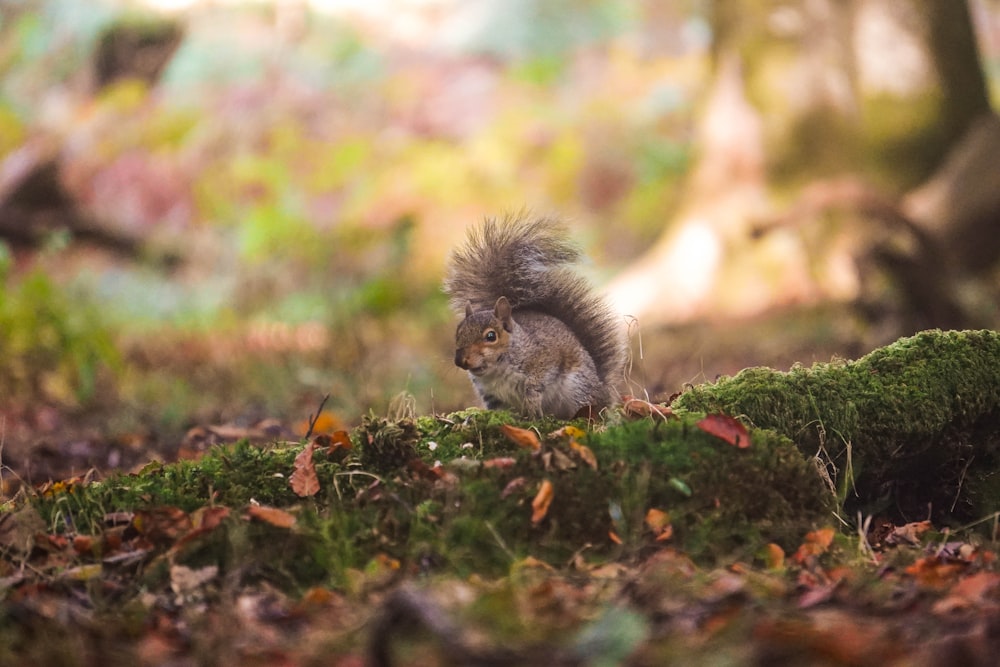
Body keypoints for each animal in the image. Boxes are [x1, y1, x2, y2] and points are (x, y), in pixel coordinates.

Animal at [444, 214, 624, 420]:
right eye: (458, 333)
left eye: (491, 336)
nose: (461, 360)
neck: (496, 370)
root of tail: (603, 392)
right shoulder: (491, 395)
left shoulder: (544, 358)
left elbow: (535, 384)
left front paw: (531, 405)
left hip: (578, 387)